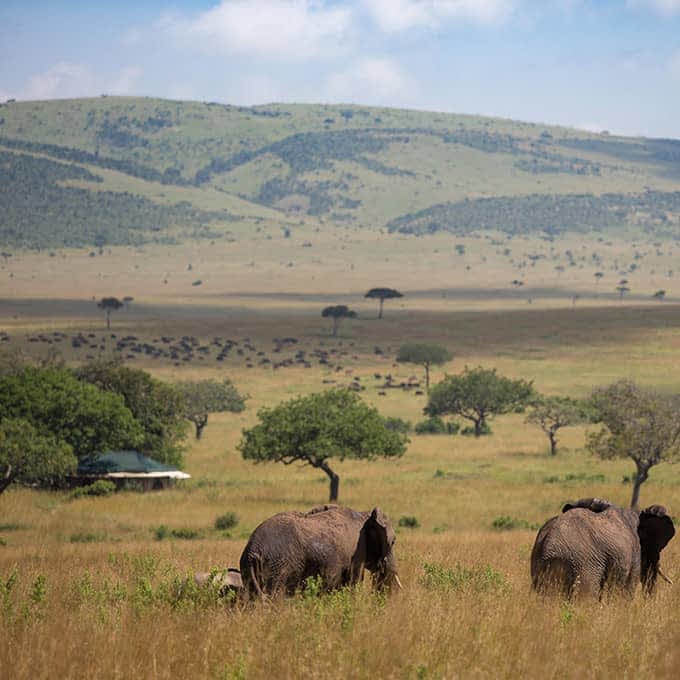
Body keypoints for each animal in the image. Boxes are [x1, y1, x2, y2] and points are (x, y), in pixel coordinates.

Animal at [239, 502, 402, 596]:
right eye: (393, 542)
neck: (364, 515)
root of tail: (253, 550)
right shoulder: (358, 551)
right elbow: (353, 583)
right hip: (278, 567)